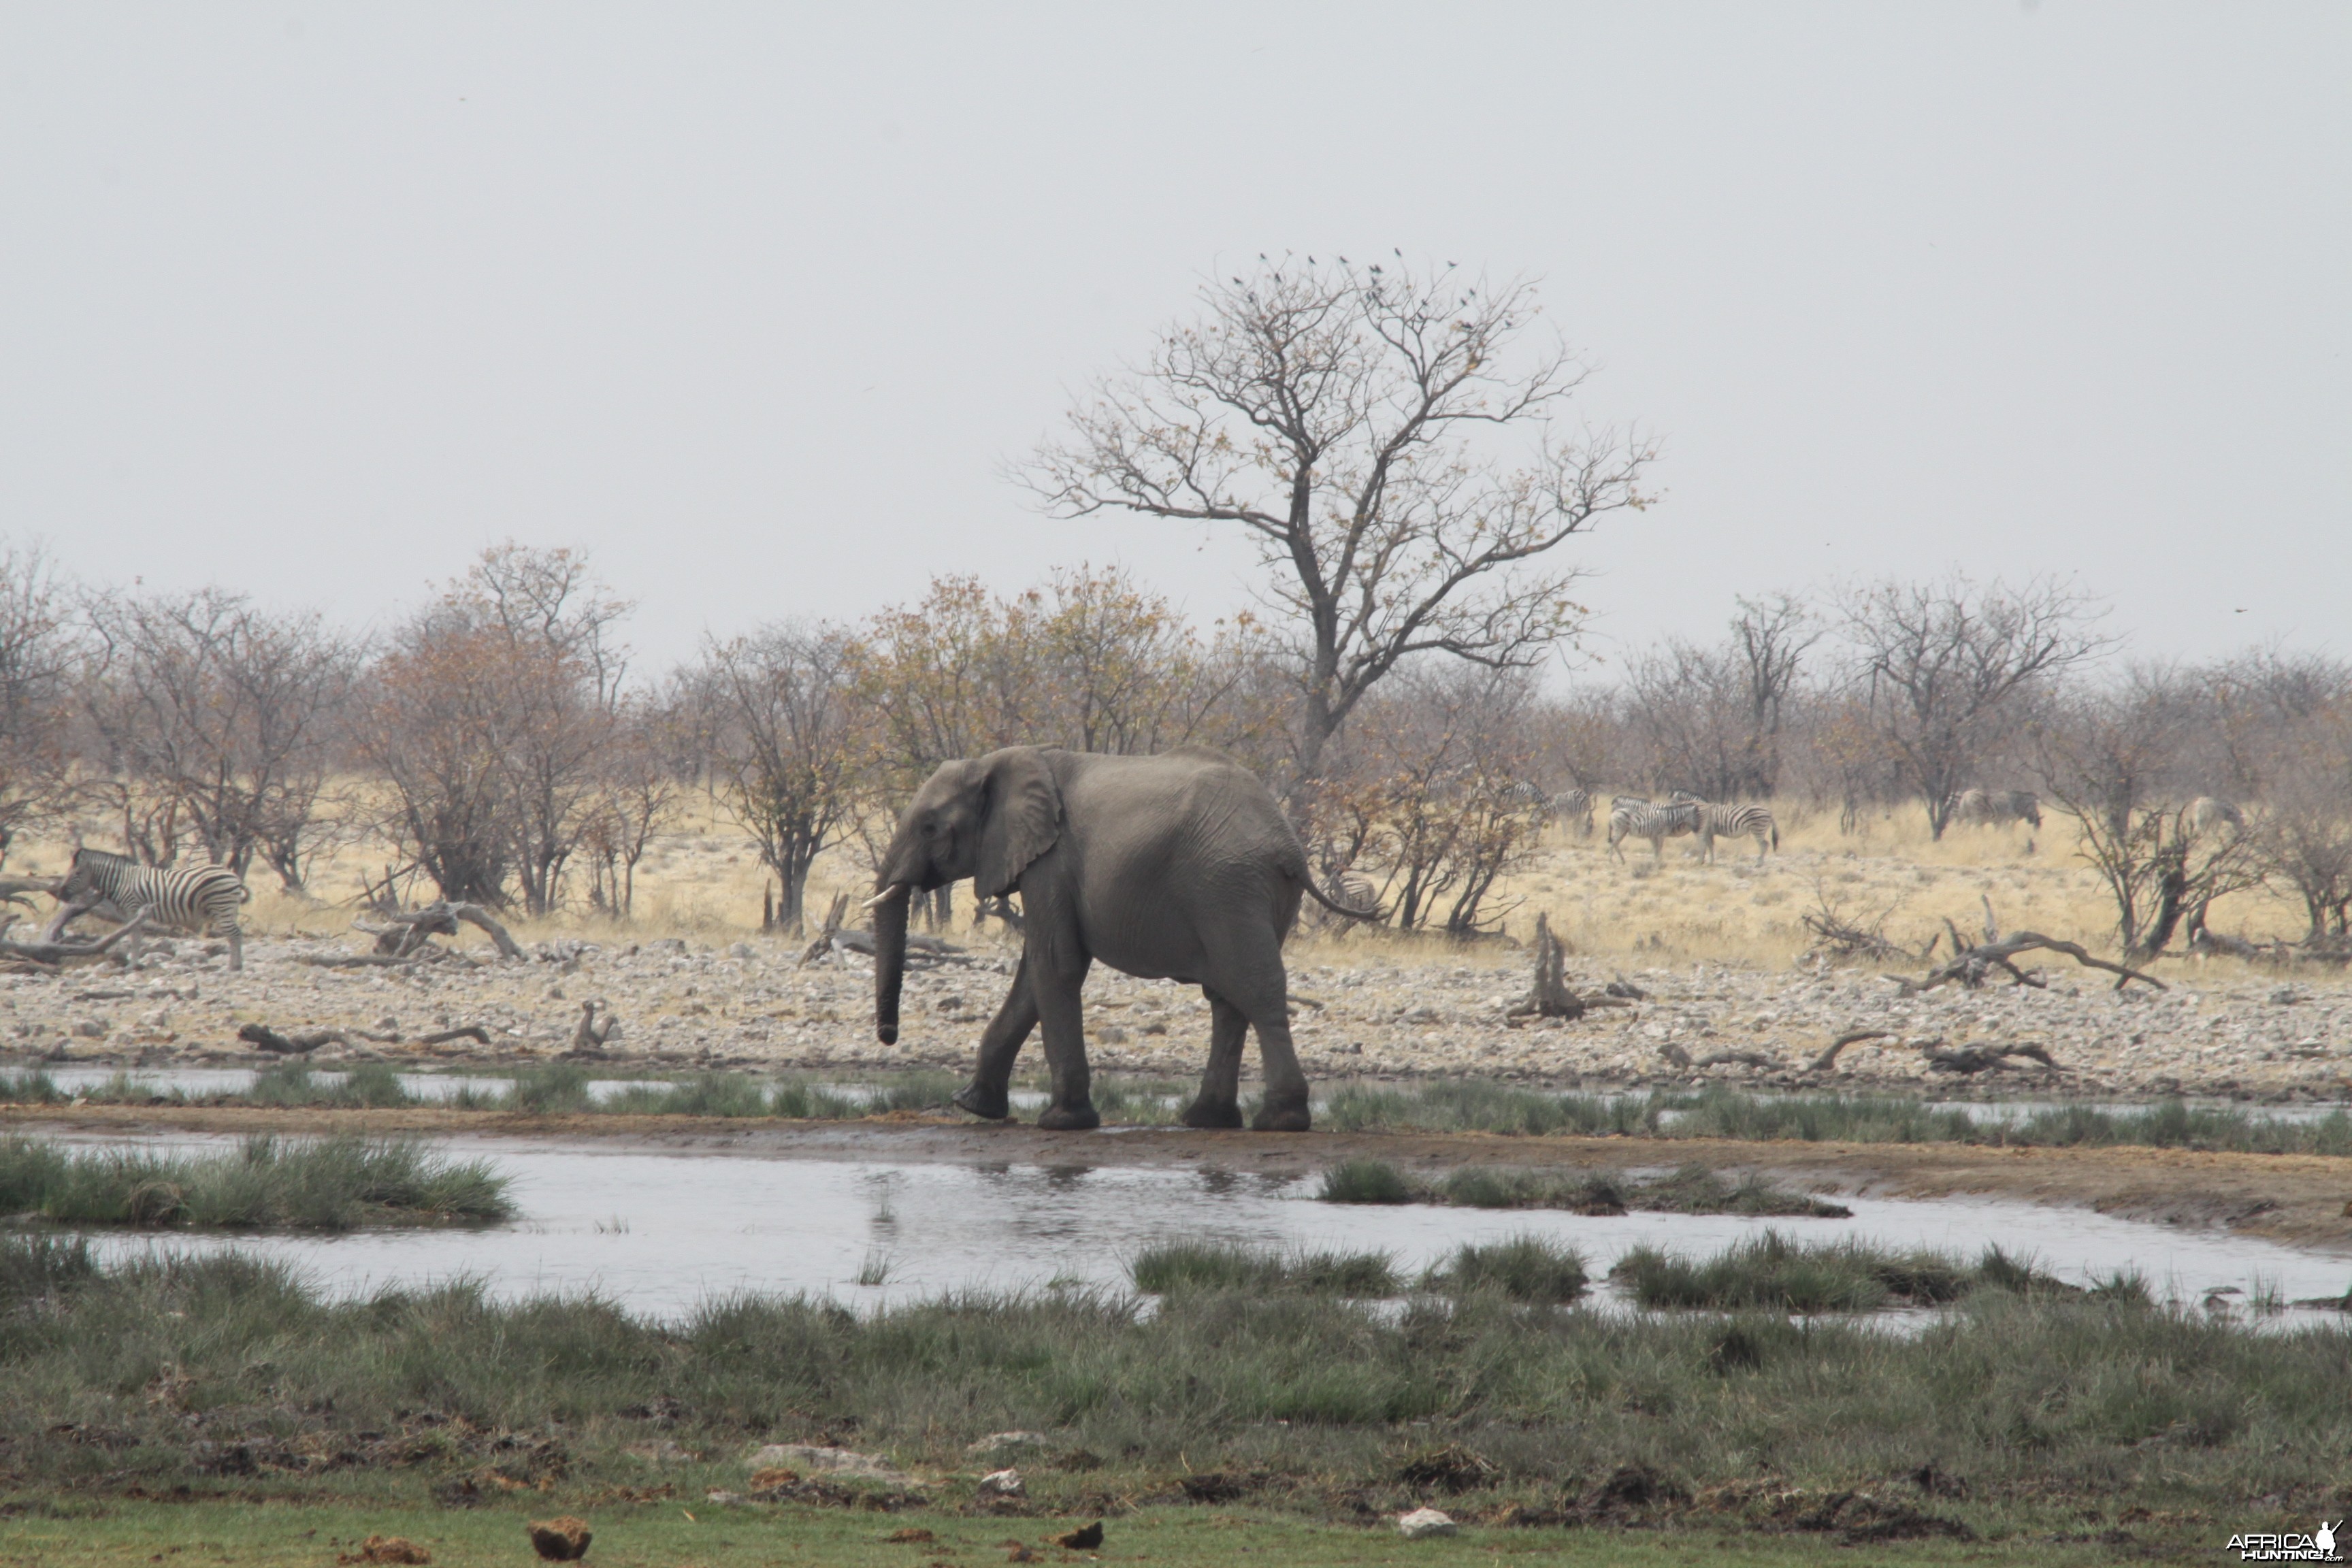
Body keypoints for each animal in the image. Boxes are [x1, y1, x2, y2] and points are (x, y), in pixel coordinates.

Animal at [58, 846, 250, 968]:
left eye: (77, 873)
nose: (62, 894)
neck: (121, 881)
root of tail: (233, 876)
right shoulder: (132, 914)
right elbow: (136, 938)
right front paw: (135, 964)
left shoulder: (133, 909)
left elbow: (135, 938)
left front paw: (133, 965)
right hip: (229, 909)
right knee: (235, 934)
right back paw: (237, 964)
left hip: (221, 906)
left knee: (234, 934)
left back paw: (234, 966)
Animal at [870, 747, 1373, 1128]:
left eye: (930, 827)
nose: (889, 1036)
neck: (1000, 760)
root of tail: (1290, 847)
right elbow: (1035, 974)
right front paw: (973, 1105)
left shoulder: (1050, 861)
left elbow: (1056, 965)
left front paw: (1062, 1121)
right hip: (1258, 893)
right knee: (1229, 998)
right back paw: (1207, 1119)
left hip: (1227, 886)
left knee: (1254, 986)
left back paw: (1280, 1121)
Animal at [1608, 804, 1703, 865]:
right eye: (1696, 817)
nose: (1698, 829)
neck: (1668, 818)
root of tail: (1614, 813)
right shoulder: (1660, 835)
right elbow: (1659, 848)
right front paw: (1660, 862)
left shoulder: (1653, 836)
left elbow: (1655, 848)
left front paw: (1656, 861)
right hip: (1619, 830)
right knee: (1613, 843)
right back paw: (1611, 861)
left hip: (1623, 831)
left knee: (1616, 844)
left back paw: (1622, 860)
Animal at [1947, 785, 2041, 832]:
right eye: (2034, 806)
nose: (2038, 826)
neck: (2015, 803)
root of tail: (1966, 795)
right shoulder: (2007, 820)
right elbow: (2009, 831)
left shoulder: (1998, 821)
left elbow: (1997, 831)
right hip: (1973, 817)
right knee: (1967, 825)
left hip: (1962, 814)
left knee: (1961, 825)